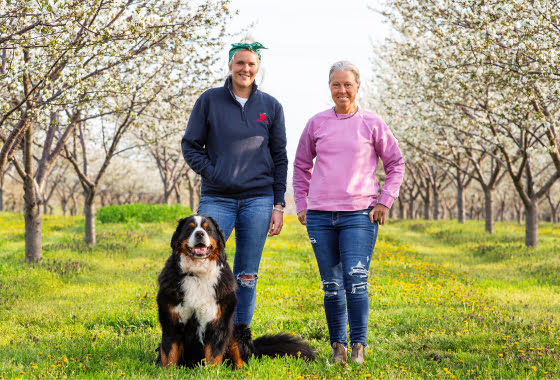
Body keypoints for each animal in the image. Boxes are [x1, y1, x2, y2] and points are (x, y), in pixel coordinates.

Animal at [155, 214, 316, 368]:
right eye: (190, 228)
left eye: (208, 229)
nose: (200, 234)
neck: (197, 274)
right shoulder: (171, 322)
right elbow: (169, 355)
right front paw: (167, 372)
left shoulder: (218, 322)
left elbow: (213, 356)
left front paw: (211, 373)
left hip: (238, 330)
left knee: (240, 360)